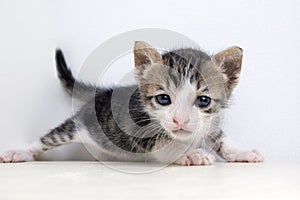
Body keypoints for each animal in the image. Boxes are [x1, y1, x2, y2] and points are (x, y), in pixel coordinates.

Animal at [0, 41, 262, 165]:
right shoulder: (137, 130)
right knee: (49, 137)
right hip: (79, 127)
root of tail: (103, 92)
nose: (179, 120)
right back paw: (20, 151)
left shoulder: (212, 121)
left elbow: (222, 139)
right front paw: (190, 155)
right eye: (164, 99)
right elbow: (165, 144)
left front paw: (241, 152)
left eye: (203, 100)